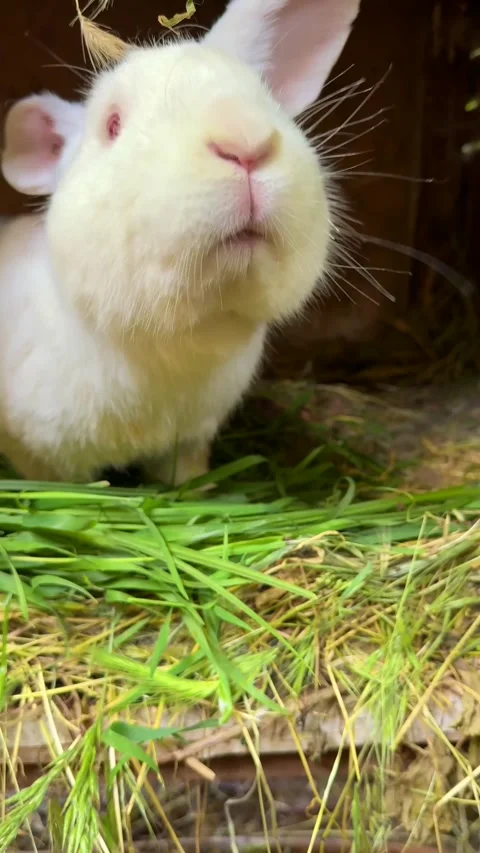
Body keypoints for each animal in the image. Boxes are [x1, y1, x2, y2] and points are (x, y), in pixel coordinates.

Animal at [0, 0, 360, 485]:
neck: (175, 348)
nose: (244, 141)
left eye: (263, 96)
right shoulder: (39, 455)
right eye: (113, 124)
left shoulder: (189, 441)